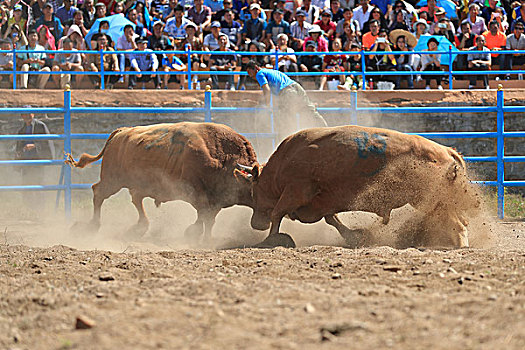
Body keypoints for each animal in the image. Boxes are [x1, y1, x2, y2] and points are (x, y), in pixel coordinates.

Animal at [66, 122, 256, 241]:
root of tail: (121, 132)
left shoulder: (216, 199)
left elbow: (208, 218)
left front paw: (201, 236)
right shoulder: (196, 192)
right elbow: (204, 215)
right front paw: (195, 235)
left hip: (133, 184)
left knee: (136, 200)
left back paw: (139, 227)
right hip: (113, 181)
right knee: (98, 193)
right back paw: (93, 226)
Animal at [237, 126, 478, 249]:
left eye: (252, 191)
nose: (255, 224)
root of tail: (447, 151)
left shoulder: (295, 191)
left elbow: (277, 213)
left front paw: (271, 239)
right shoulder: (323, 201)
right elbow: (332, 219)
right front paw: (354, 236)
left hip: (430, 200)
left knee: (457, 224)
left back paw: (460, 244)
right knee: (460, 220)